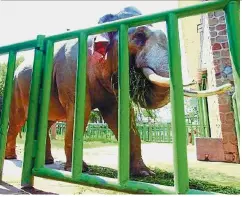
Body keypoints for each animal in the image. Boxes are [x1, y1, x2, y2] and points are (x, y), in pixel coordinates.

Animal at [4, 6, 232, 176]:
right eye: (139, 36)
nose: (230, 85)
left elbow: (120, 116)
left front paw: (145, 174)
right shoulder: (71, 75)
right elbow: (80, 113)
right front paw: (80, 170)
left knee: (47, 123)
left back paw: (48, 161)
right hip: (16, 89)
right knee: (17, 121)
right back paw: (11, 158)